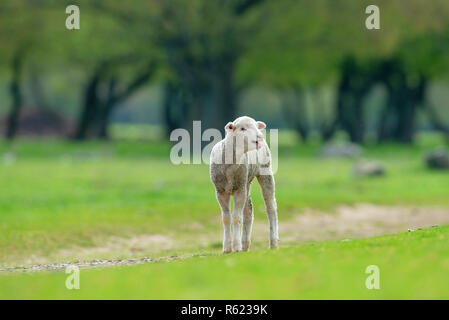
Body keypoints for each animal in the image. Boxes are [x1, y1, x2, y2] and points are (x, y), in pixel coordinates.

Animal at [209, 115, 276, 252]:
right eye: (242, 129)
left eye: (256, 126)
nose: (260, 136)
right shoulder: (221, 192)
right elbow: (226, 218)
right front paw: (227, 248)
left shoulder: (239, 191)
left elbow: (236, 217)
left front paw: (236, 246)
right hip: (246, 182)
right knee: (248, 211)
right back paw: (245, 244)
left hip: (265, 171)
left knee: (271, 207)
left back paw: (273, 243)